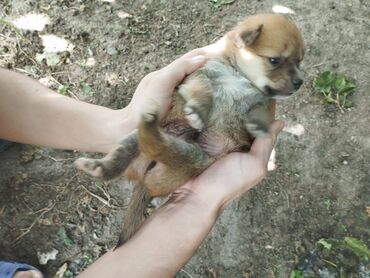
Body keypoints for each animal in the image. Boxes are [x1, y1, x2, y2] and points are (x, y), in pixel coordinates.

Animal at [74, 13, 304, 245]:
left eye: (299, 61)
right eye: (274, 60)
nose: (299, 83)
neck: (239, 75)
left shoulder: (261, 100)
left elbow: (260, 109)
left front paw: (259, 125)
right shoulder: (199, 73)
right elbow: (203, 88)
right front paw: (199, 110)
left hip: (194, 158)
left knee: (164, 153)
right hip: (146, 142)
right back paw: (105, 164)